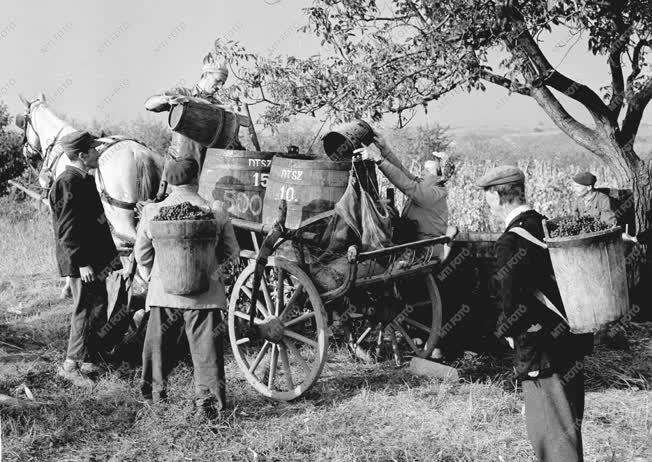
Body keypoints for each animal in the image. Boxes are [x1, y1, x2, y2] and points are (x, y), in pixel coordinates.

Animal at [16, 93, 164, 296]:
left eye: (23, 122)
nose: (25, 152)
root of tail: (138, 154)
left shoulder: (62, 211)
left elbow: (68, 242)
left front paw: (68, 287)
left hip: (121, 216)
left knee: (138, 244)